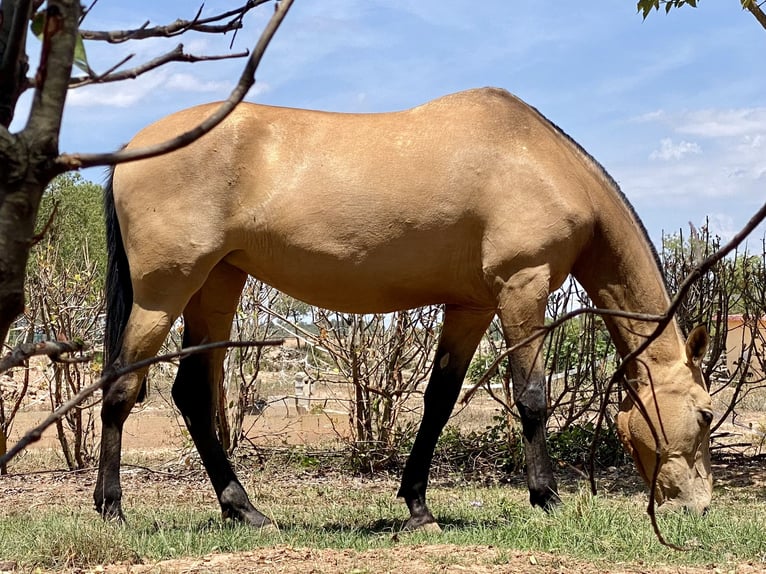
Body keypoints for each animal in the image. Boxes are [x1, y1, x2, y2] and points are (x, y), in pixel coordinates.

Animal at [94, 88, 712, 532]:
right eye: (706, 414)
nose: (701, 506)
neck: (540, 162)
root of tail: (132, 148)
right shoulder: (522, 288)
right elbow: (532, 396)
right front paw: (547, 497)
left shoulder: (470, 305)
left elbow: (439, 400)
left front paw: (418, 506)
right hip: (163, 292)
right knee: (122, 386)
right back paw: (113, 509)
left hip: (217, 284)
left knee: (193, 395)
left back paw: (244, 509)